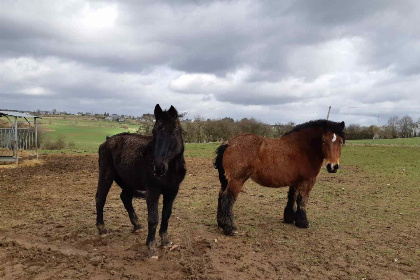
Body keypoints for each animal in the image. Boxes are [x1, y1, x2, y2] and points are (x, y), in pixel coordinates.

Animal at [97, 104, 187, 250]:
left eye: (173, 133)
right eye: (154, 132)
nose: (158, 167)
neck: (170, 170)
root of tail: (107, 140)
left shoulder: (172, 191)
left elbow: (166, 215)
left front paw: (165, 240)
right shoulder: (152, 191)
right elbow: (153, 218)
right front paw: (151, 246)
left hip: (128, 181)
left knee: (125, 197)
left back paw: (137, 225)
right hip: (106, 175)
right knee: (100, 198)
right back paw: (102, 229)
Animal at [215, 120, 346, 234]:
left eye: (340, 141)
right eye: (323, 140)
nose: (332, 166)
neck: (303, 149)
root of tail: (230, 143)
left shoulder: (295, 181)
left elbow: (292, 197)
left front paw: (289, 218)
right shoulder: (307, 181)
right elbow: (302, 200)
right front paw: (303, 222)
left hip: (227, 181)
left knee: (221, 196)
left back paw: (221, 224)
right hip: (236, 181)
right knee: (227, 199)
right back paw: (230, 228)